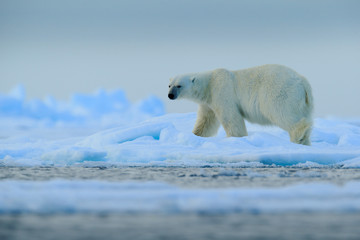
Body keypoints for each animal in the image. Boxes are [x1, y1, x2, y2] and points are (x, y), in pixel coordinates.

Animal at [169, 63, 312, 145]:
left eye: (179, 85)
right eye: (169, 85)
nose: (170, 95)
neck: (209, 83)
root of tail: (302, 80)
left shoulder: (221, 91)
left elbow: (230, 117)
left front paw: (236, 138)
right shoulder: (208, 103)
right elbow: (206, 121)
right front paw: (195, 135)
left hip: (279, 91)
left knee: (281, 112)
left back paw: (298, 136)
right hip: (303, 102)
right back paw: (304, 141)